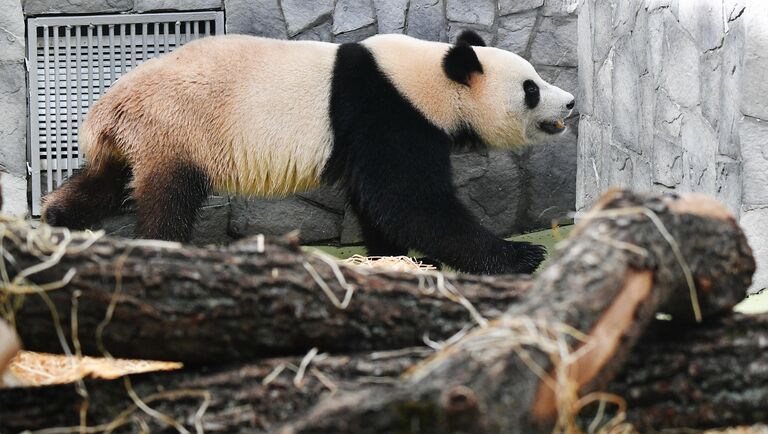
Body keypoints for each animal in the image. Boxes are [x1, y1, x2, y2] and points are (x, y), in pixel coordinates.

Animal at [42, 30, 568, 274]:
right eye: (531, 89)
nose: (570, 102)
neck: (430, 77)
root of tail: (104, 111)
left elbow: (380, 203)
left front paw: (392, 258)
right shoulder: (387, 111)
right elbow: (410, 202)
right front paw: (522, 254)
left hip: (138, 139)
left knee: (108, 181)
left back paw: (57, 218)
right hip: (177, 128)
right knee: (167, 197)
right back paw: (162, 246)